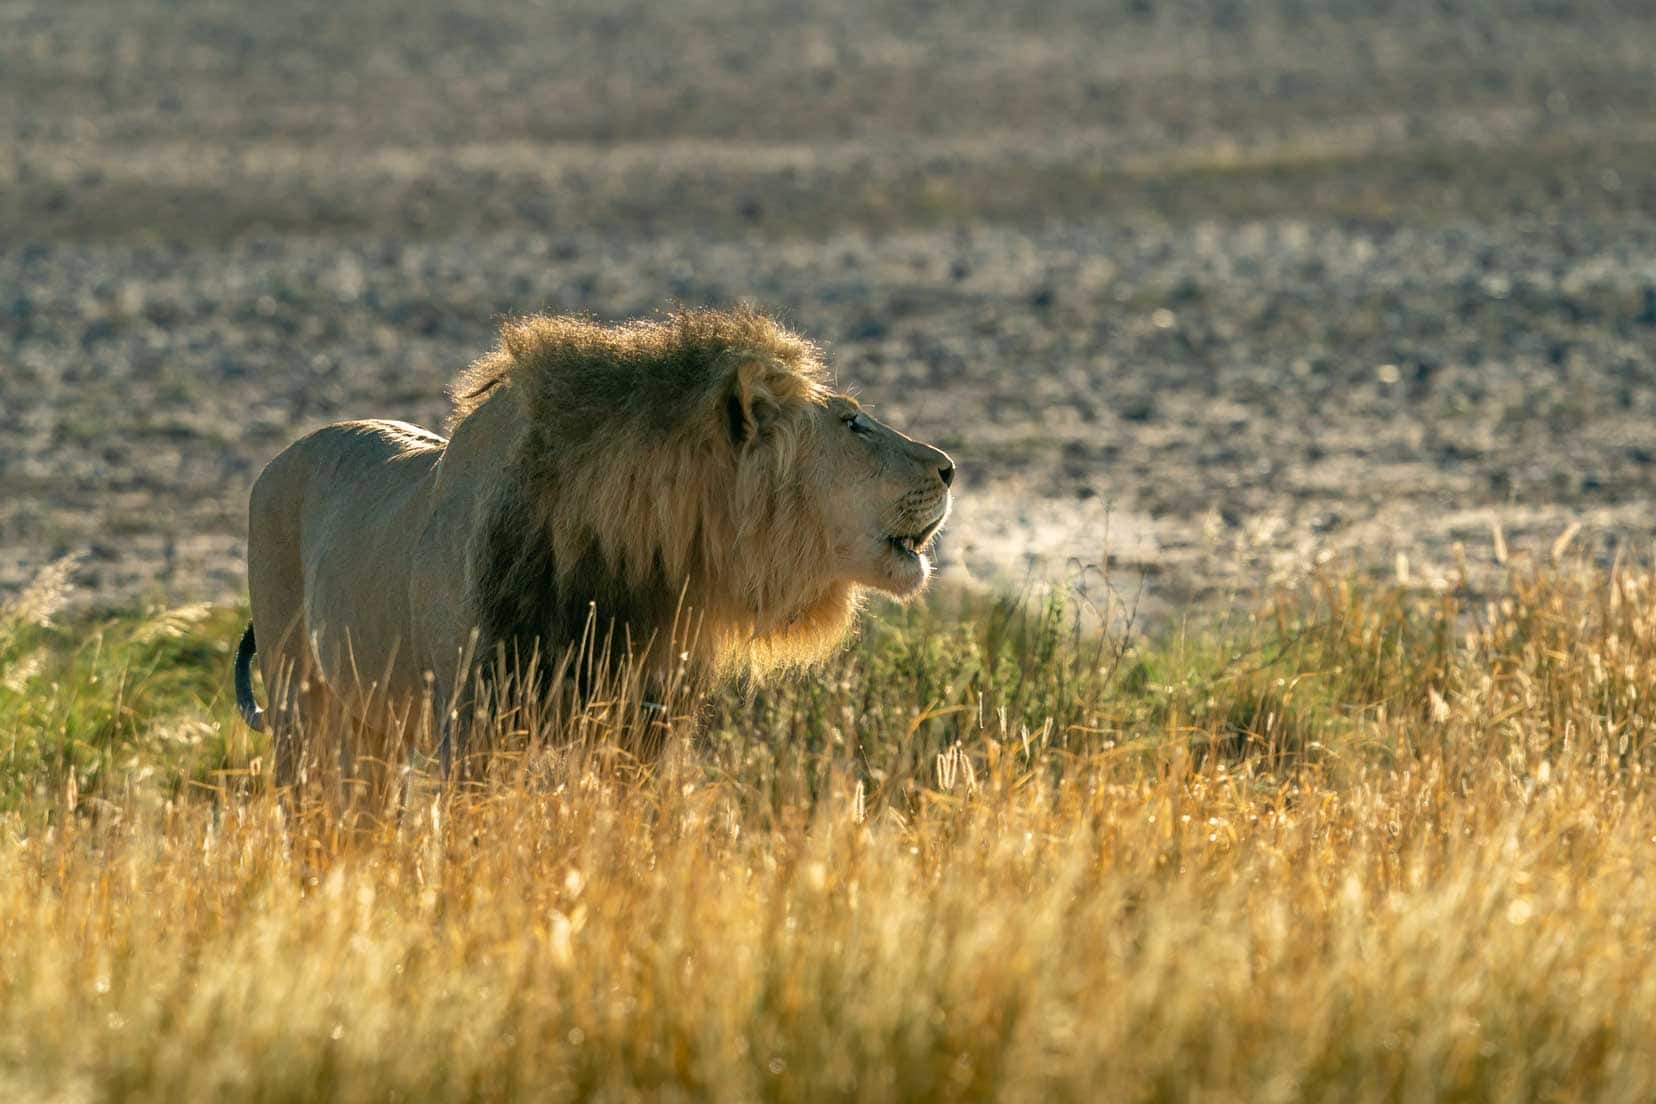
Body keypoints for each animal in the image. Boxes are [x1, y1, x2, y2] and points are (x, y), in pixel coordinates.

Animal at [235, 302, 960, 784]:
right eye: (853, 423)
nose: (950, 467)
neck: (647, 565)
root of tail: (275, 461)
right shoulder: (471, 723)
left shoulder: (646, 724)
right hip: (303, 712)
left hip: (370, 727)